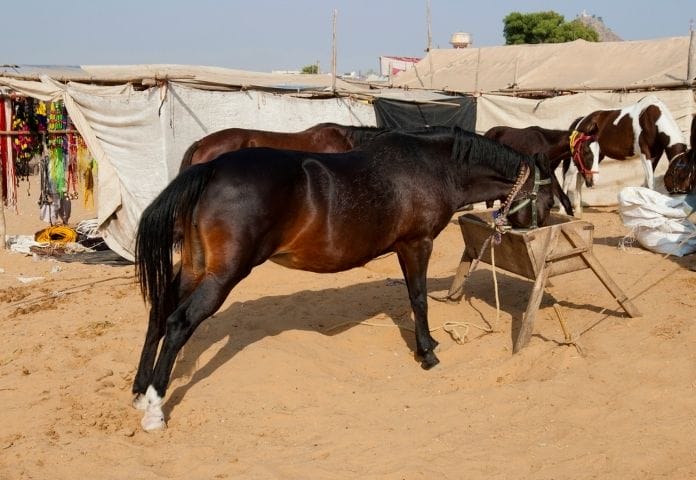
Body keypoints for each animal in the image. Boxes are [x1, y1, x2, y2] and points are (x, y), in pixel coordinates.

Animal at [132, 126, 559, 431]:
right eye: (552, 198)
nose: (541, 233)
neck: (433, 167)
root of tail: (211, 168)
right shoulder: (416, 245)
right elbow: (418, 299)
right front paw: (427, 353)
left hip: (194, 267)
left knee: (159, 312)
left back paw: (139, 390)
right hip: (223, 274)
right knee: (179, 322)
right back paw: (154, 408)